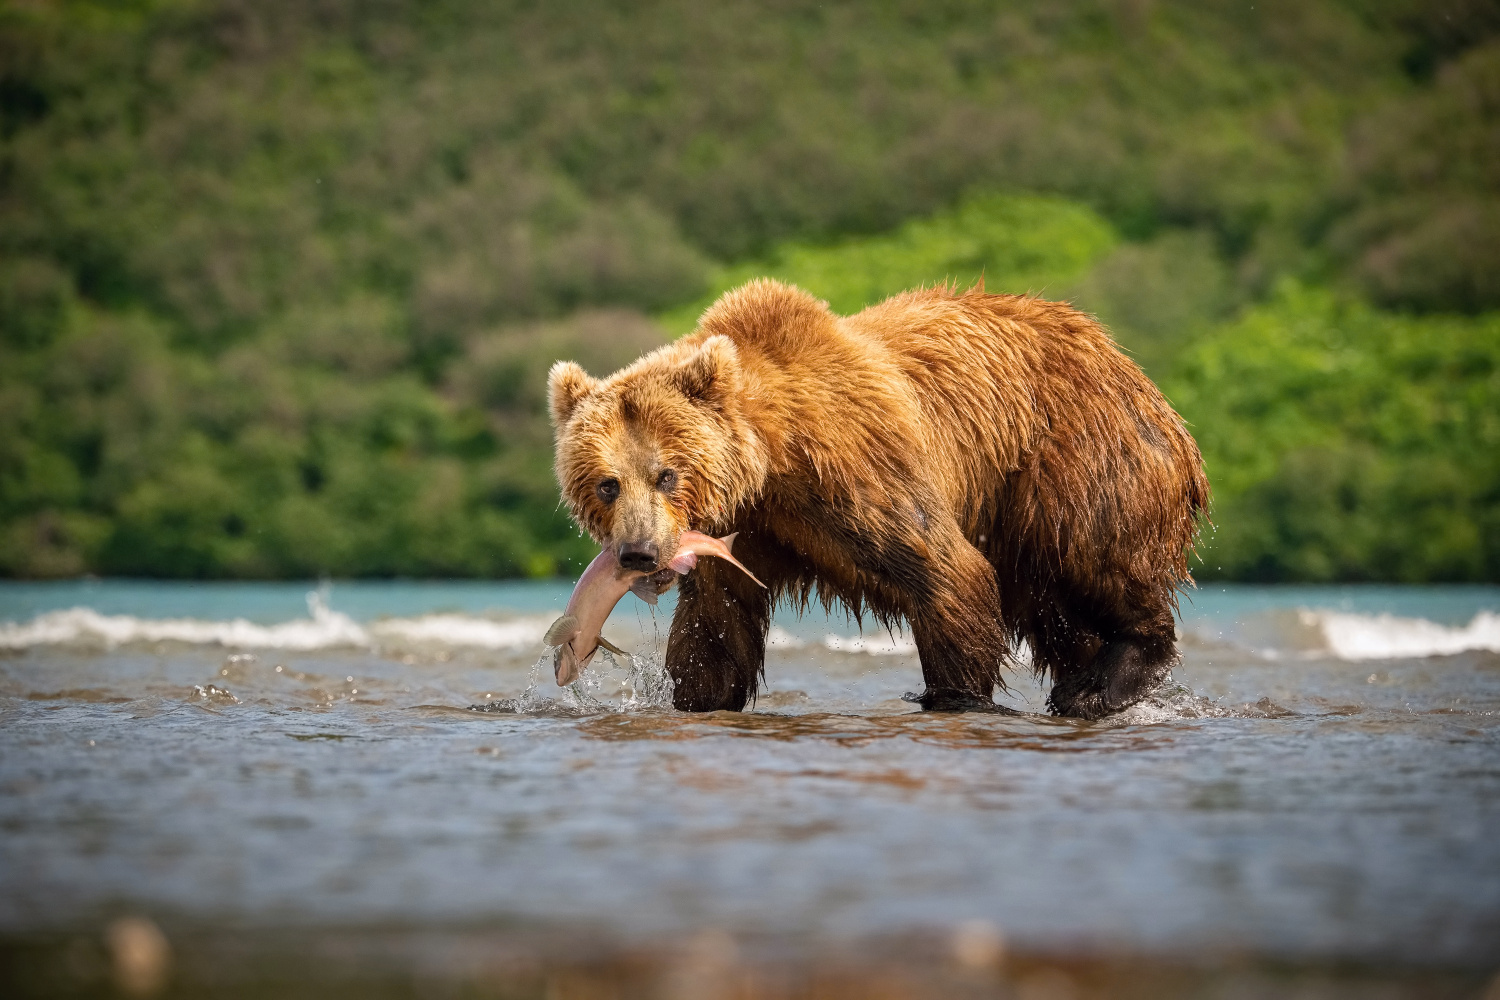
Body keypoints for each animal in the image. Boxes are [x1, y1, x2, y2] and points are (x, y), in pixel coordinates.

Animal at [549, 281, 1206, 719]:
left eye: (667, 474)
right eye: (607, 483)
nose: (637, 552)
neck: (773, 456)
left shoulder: (854, 469)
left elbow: (947, 573)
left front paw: (955, 697)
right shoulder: (745, 531)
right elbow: (715, 629)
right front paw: (697, 696)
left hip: (1071, 455)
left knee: (1095, 554)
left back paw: (1102, 682)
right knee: (1054, 609)